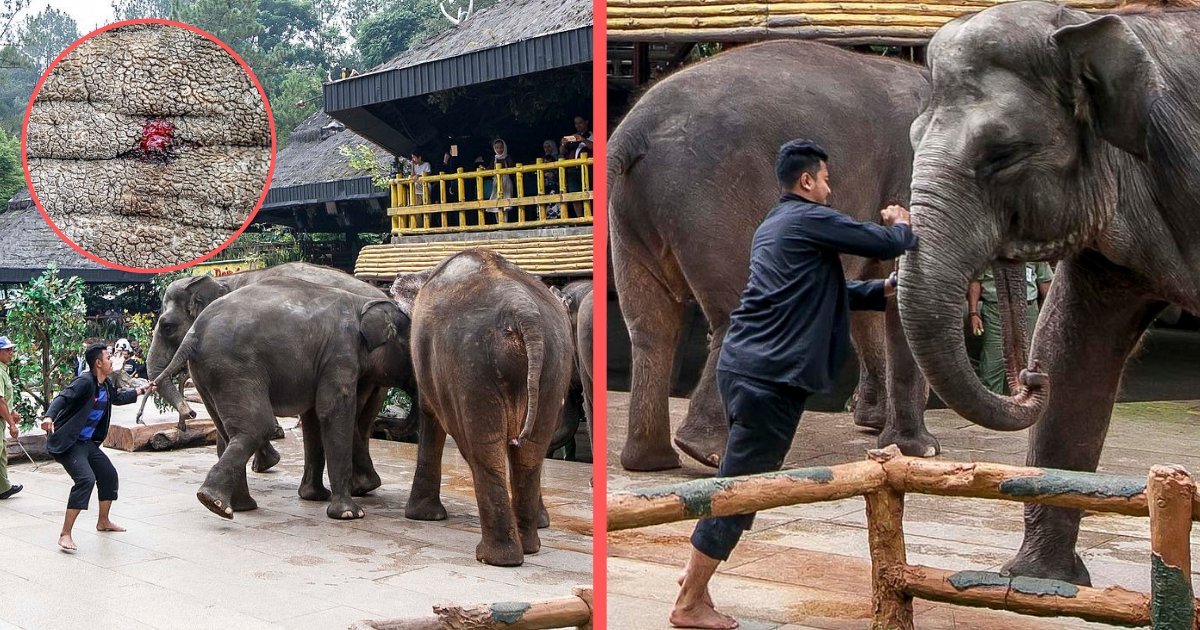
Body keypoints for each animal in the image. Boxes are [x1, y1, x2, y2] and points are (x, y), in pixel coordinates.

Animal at [152, 277, 415, 518]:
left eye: (166, 327)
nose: (190, 413)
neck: (362, 304)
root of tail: (193, 336)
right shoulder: (340, 353)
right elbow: (331, 411)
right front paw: (350, 514)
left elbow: (315, 416)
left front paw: (316, 498)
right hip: (232, 368)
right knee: (257, 426)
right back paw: (218, 504)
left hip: (213, 373)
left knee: (236, 431)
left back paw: (230, 505)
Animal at [400, 249, 573, 564]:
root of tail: (522, 310)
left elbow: (430, 415)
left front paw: (422, 517)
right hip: (554, 364)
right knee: (531, 452)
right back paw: (528, 546)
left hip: (471, 364)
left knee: (481, 448)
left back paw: (493, 557)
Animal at [609, 39, 936, 468]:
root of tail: (633, 131)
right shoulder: (908, 167)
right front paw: (921, 450)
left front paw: (874, 425)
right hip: (710, 204)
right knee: (733, 313)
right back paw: (714, 454)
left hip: (632, 218)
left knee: (650, 327)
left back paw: (652, 460)